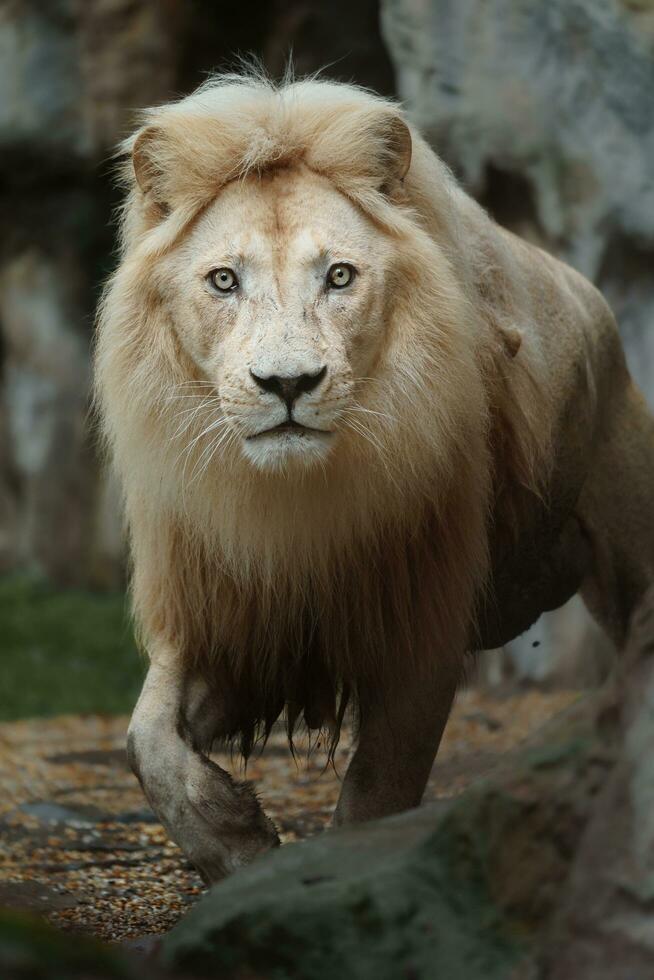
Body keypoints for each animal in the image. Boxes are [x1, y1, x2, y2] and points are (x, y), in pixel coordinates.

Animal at [95, 71, 654, 880]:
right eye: (224, 281)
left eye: (339, 276)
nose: (288, 383)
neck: (295, 502)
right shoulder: (229, 609)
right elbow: (148, 741)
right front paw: (236, 842)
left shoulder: (417, 619)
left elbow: (379, 787)